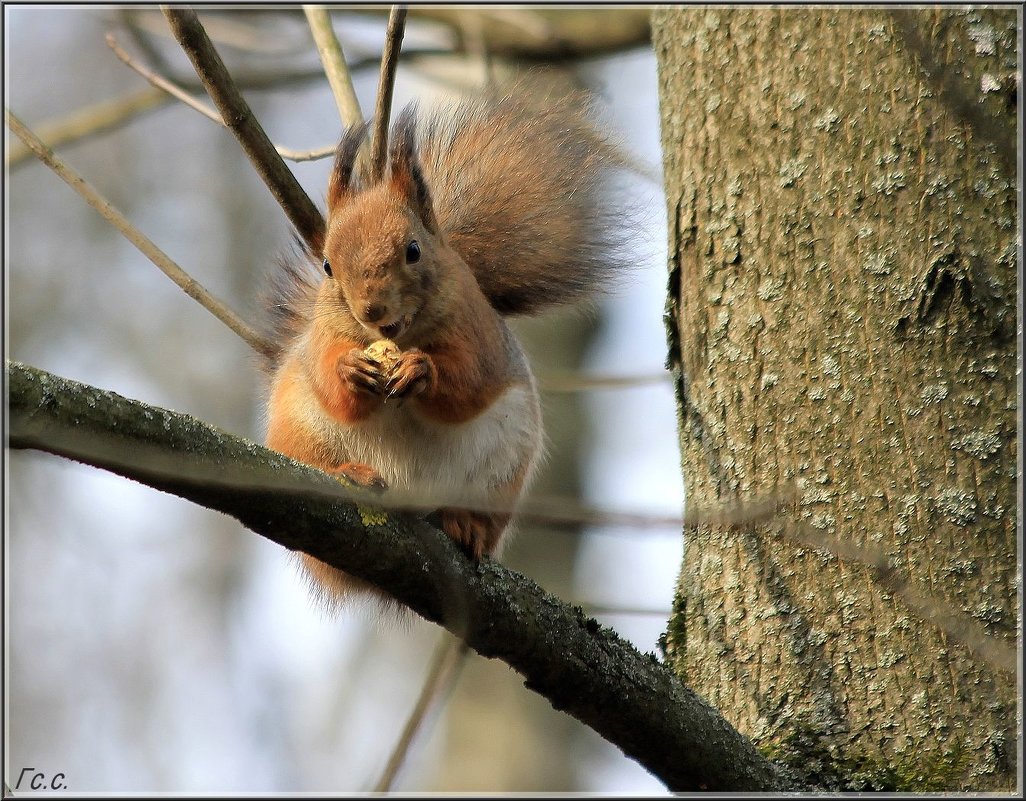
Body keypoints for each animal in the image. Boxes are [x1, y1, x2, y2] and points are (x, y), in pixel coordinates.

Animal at [262, 84, 632, 603]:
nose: (371, 310)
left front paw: (422, 371)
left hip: (504, 468)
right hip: (296, 430)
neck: (402, 335)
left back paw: (466, 525)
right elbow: (332, 386)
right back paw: (346, 474)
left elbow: (467, 385)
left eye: (413, 250)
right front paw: (350, 371)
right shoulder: (322, 341)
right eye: (328, 267)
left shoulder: (478, 336)